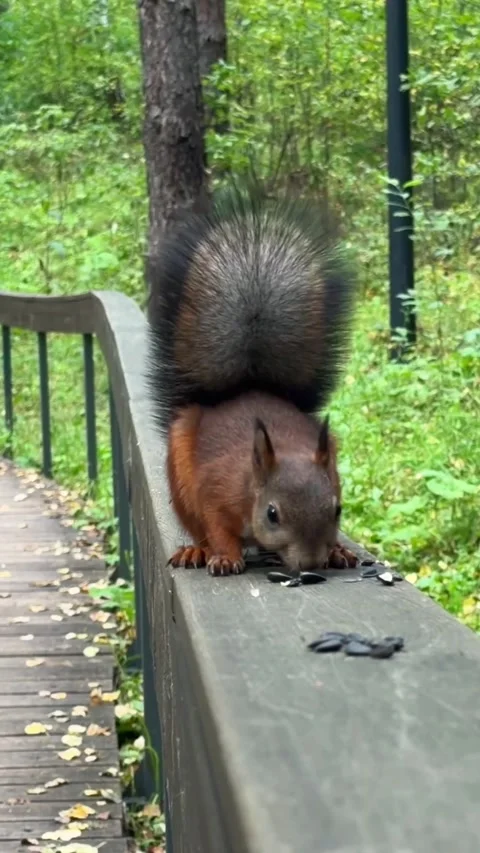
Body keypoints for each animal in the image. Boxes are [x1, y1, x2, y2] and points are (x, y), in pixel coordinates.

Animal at [147, 188, 358, 577]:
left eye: (338, 510)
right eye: (272, 514)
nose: (310, 563)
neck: (251, 482)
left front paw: (337, 549)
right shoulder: (215, 491)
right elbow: (217, 528)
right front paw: (227, 558)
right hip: (180, 476)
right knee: (198, 530)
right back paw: (196, 551)